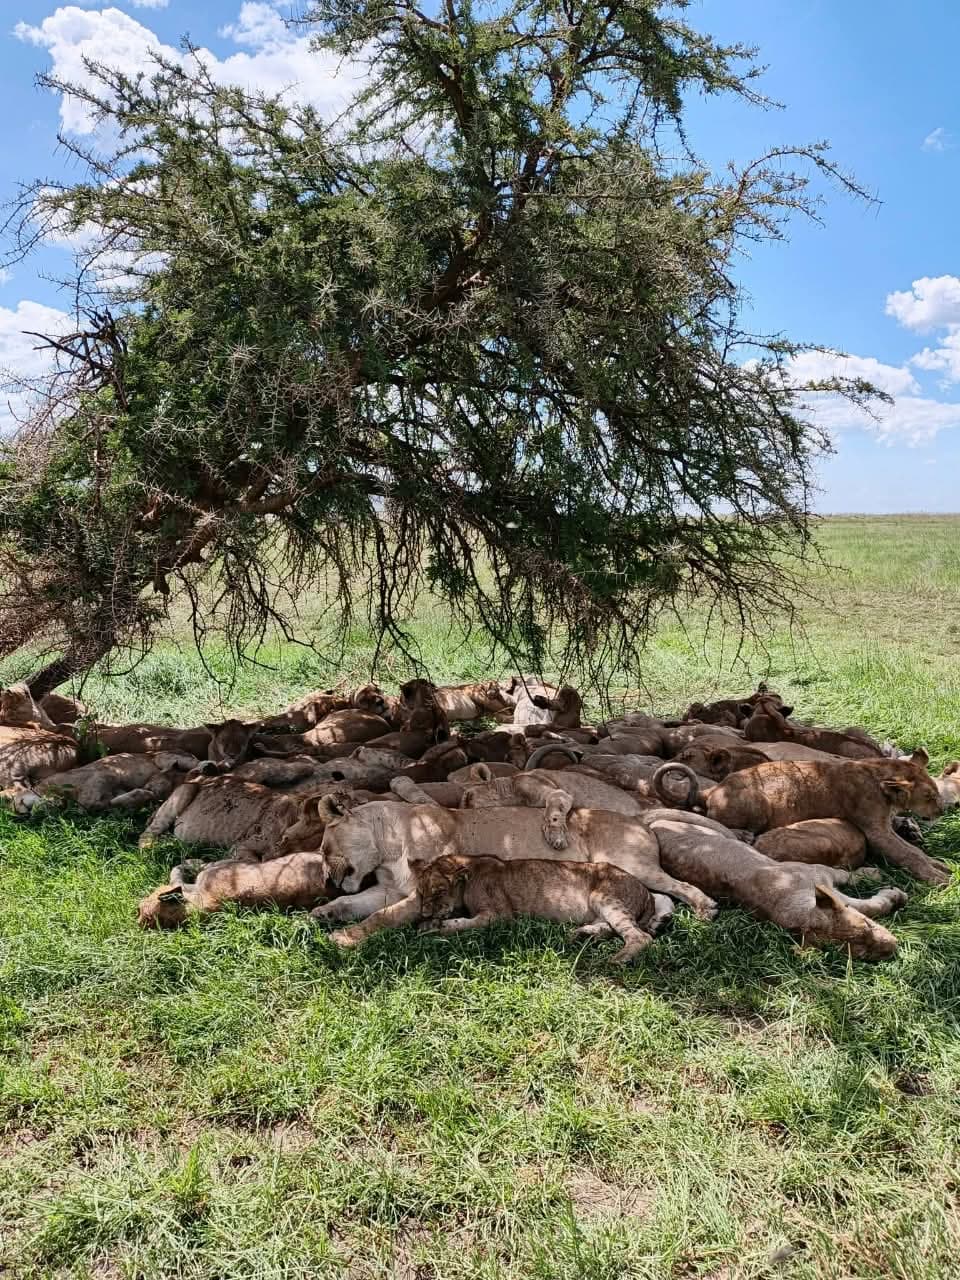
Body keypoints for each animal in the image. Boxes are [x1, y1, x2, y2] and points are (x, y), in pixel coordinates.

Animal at [330, 854, 675, 964]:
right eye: (422, 892)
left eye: (438, 891)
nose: (426, 913)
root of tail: (645, 893)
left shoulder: (500, 915)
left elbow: (466, 923)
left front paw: (436, 927)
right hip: (602, 907)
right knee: (611, 927)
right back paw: (582, 935)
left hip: (607, 894)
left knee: (639, 936)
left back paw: (618, 958)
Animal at [652, 750, 948, 883]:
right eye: (929, 796)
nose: (942, 810)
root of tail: (715, 788)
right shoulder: (876, 832)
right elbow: (908, 855)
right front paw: (938, 878)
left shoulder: (885, 828)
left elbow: (914, 851)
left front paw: (940, 865)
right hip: (758, 802)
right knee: (721, 824)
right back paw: (743, 834)